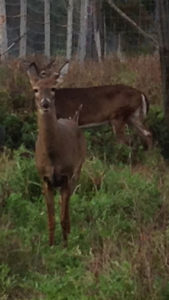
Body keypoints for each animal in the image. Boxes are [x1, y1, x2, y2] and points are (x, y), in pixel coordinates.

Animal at [27, 62, 86, 246]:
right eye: (35, 89)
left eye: (53, 88)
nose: (45, 103)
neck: (53, 155)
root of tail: (73, 121)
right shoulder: (45, 179)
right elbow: (51, 218)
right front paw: (51, 245)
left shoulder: (66, 175)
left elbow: (62, 217)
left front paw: (66, 246)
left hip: (78, 170)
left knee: (67, 206)